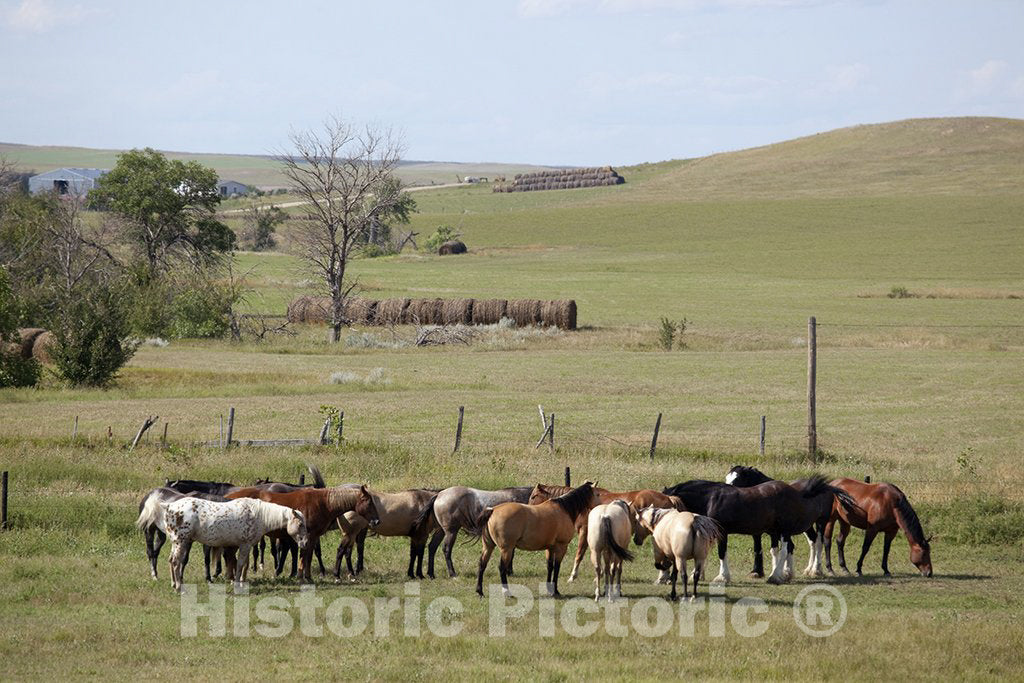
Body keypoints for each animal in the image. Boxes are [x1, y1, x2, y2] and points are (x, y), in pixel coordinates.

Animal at [226, 485, 378, 581]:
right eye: (369, 502)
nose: (376, 521)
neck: (324, 503)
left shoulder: (312, 537)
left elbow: (306, 556)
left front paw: (302, 575)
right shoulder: (309, 536)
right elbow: (306, 556)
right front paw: (306, 577)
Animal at [528, 481, 679, 581]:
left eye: (534, 496)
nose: (529, 508)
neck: (580, 505)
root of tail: (668, 497)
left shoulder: (584, 532)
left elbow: (579, 555)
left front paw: (573, 576)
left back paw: (662, 577)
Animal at [659, 475, 860, 581]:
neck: (711, 498)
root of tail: (798, 491)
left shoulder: (722, 533)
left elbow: (722, 553)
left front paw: (722, 576)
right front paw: (697, 574)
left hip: (789, 529)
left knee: (791, 548)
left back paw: (777, 576)